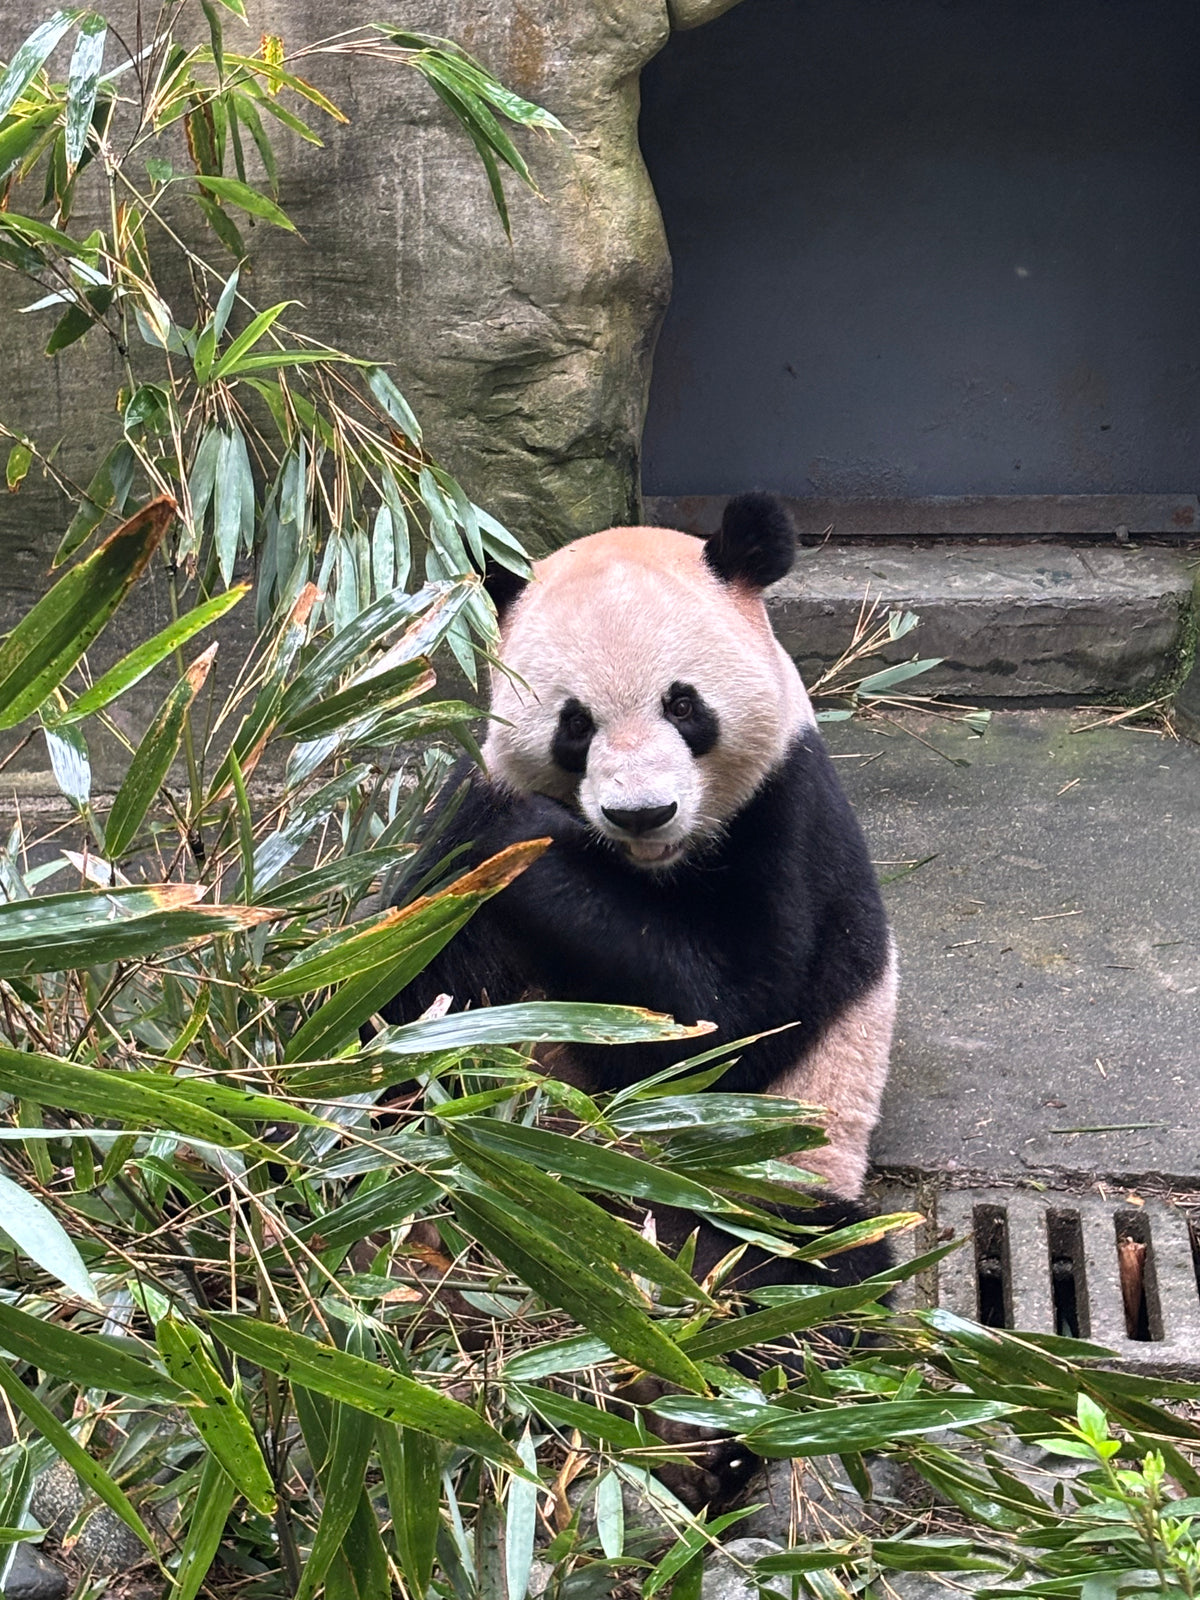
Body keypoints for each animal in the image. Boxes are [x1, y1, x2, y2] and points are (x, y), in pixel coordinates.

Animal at [383, 493, 898, 1308]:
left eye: (683, 705)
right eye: (574, 722)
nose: (642, 813)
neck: (644, 868)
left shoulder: (789, 817)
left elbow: (732, 1023)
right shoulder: (464, 856)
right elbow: (408, 989)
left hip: (766, 1169)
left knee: (801, 1259)